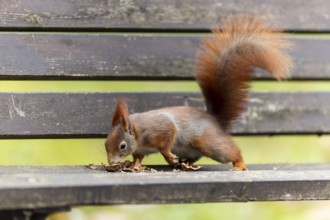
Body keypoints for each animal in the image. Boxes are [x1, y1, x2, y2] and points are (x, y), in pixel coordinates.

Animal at [104, 16, 292, 171]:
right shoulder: (141, 149)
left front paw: (168, 155)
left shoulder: (161, 128)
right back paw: (184, 163)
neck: (138, 132)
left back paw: (239, 164)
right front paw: (133, 164)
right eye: (105, 143)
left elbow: (166, 143)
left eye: (122, 146)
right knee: (196, 157)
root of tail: (215, 121)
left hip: (209, 144)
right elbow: (138, 157)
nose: (111, 162)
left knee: (230, 151)